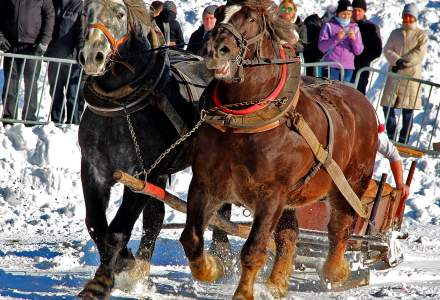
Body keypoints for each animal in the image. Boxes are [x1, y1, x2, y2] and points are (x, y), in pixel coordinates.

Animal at [179, 1, 378, 298]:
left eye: (250, 18)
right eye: (220, 13)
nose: (216, 49)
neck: (242, 121)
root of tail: (362, 102)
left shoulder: (271, 195)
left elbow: (254, 248)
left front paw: (243, 292)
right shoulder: (206, 183)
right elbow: (191, 238)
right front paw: (212, 268)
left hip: (350, 184)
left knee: (339, 228)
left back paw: (336, 271)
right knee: (289, 234)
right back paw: (276, 283)